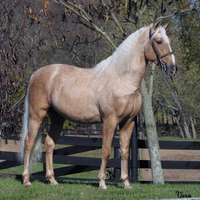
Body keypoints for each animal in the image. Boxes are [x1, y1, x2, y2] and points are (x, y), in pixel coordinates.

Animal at [20, 21, 177, 190]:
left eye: (169, 40)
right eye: (159, 41)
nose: (173, 68)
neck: (122, 80)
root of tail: (36, 74)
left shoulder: (128, 122)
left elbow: (125, 151)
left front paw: (126, 183)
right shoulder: (110, 120)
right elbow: (106, 151)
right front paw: (102, 183)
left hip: (58, 118)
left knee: (49, 143)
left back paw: (52, 180)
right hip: (37, 115)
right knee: (28, 143)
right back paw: (26, 180)